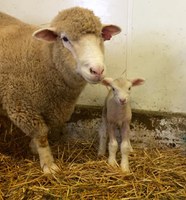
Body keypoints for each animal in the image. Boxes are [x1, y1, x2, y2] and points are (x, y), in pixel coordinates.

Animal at [0, 6, 120, 173]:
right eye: (64, 39)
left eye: (101, 36)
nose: (97, 70)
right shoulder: (21, 107)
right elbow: (41, 135)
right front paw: (48, 164)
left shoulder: (53, 109)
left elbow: (46, 130)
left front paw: (33, 148)